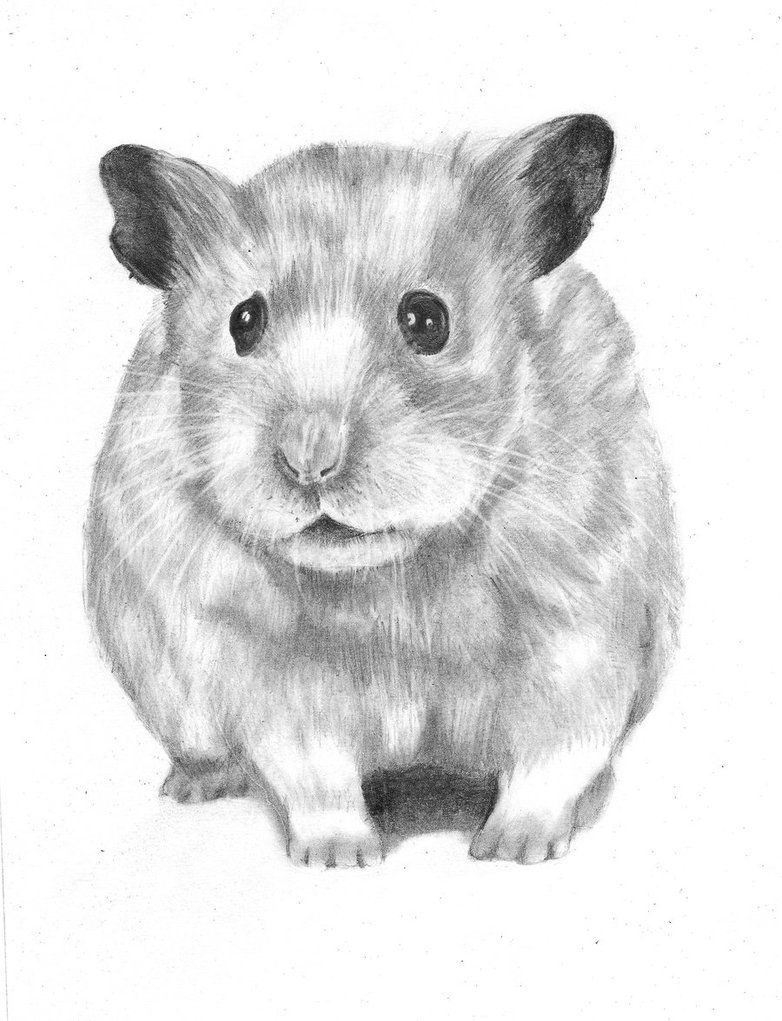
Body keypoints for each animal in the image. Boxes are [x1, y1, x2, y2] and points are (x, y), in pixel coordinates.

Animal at [85, 114, 681, 867]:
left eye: (426, 319)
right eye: (243, 321)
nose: (309, 459)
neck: (387, 581)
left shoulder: (579, 640)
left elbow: (551, 759)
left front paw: (511, 850)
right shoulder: (274, 682)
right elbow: (317, 776)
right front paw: (341, 858)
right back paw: (197, 785)